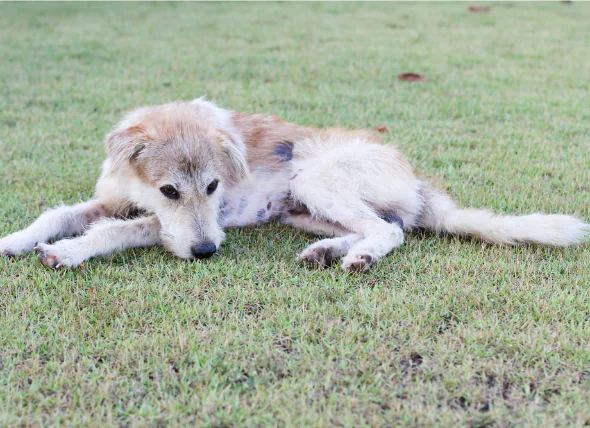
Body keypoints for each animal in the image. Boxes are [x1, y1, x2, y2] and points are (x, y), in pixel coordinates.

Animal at [0, 97, 588, 270]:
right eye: (170, 190)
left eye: (214, 188)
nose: (208, 252)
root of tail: (417, 179)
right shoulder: (114, 200)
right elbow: (58, 214)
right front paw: (17, 240)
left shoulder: (161, 226)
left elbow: (111, 233)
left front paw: (67, 252)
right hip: (302, 208)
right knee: (383, 225)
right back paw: (327, 251)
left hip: (316, 174)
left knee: (390, 232)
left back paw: (359, 258)